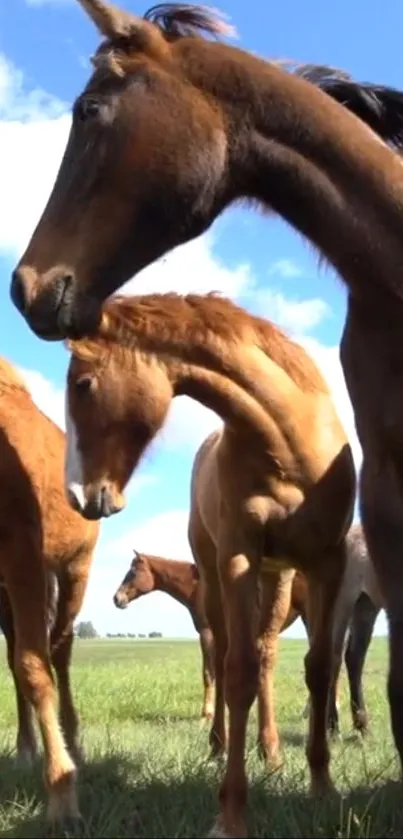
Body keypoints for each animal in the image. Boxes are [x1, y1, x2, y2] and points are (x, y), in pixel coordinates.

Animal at [61, 292, 356, 836]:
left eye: (83, 384)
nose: (80, 496)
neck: (286, 444)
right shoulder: (238, 558)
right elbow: (234, 672)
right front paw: (231, 813)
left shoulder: (329, 561)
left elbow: (319, 668)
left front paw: (323, 787)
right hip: (224, 577)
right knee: (231, 661)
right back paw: (222, 745)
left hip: (279, 577)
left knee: (268, 657)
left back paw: (271, 750)